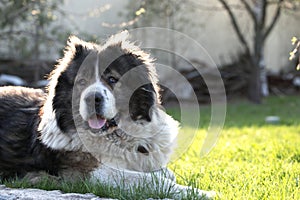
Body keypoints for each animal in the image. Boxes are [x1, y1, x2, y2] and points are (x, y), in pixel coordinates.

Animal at [0, 31, 216, 198]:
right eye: (82, 82)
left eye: (112, 79)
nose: (91, 98)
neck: (118, 136)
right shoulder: (92, 174)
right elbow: (152, 180)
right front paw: (200, 193)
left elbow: (165, 173)